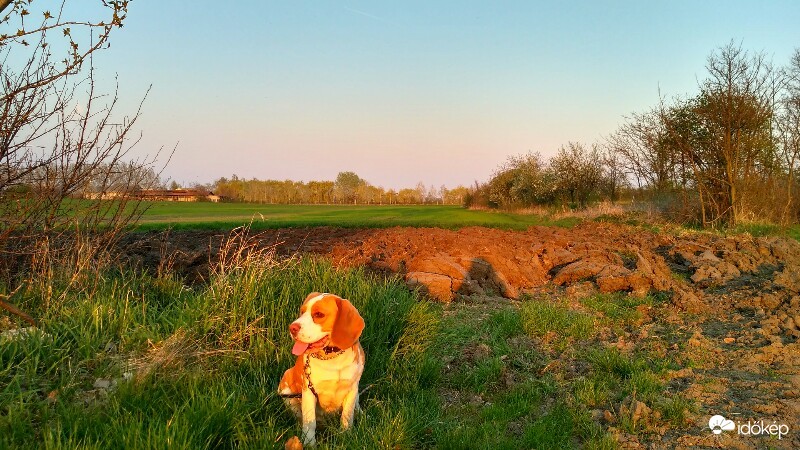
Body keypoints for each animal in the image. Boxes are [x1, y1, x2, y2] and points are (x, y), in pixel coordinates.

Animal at [278, 292, 366, 446]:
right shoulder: (308, 392)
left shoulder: (351, 389)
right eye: (302, 312)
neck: (332, 359)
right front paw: (309, 443)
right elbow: (309, 422)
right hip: (286, 389)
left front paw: (345, 436)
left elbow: (347, 416)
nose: (292, 328)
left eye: (319, 314)